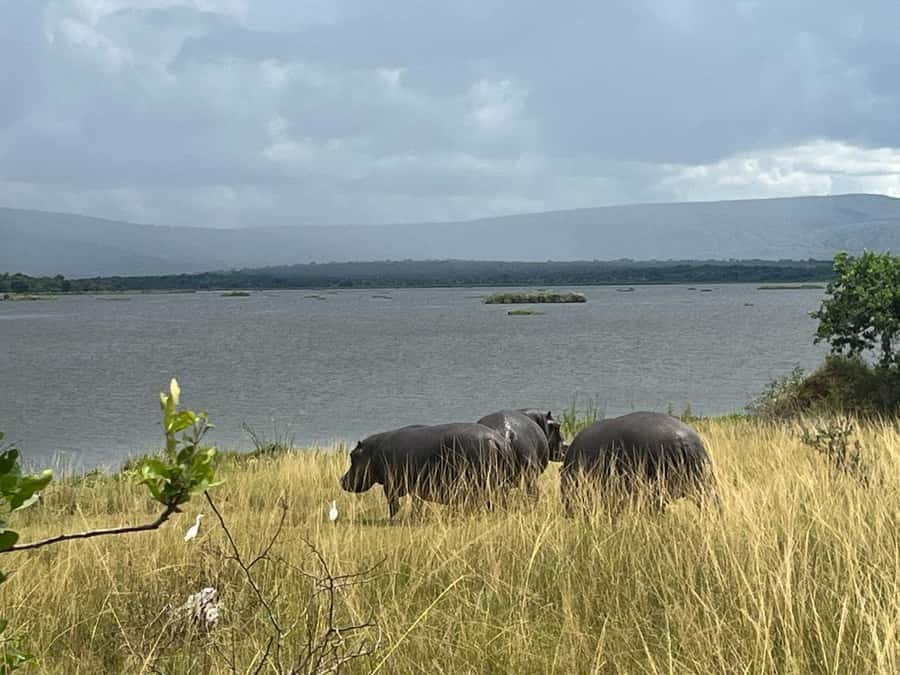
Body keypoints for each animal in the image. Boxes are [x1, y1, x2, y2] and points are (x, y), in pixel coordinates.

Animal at [340, 423, 518, 518]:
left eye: (353, 455)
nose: (341, 479)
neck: (372, 451)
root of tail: (496, 441)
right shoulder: (415, 487)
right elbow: (416, 504)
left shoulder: (390, 486)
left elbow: (394, 505)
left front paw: (393, 519)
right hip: (500, 486)